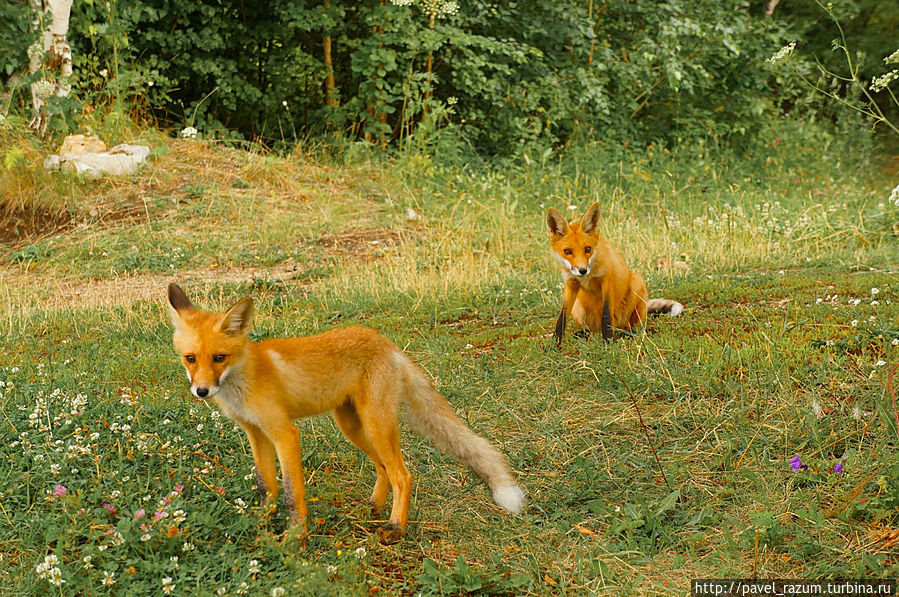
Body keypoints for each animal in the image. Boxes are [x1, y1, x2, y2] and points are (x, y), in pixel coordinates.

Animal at [165, 282, 524, 544]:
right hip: (351, 426)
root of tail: (386, 343)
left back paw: (396, 528)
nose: (201, 391)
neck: (244, 379)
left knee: (403, 475)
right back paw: (374, 507)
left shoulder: (284, 433)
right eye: (190, 358)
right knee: (383, 468)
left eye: (220, 357)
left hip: (376, 425)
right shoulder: (256, 433)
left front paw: (295, 538)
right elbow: (266, 486)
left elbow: (292, 493)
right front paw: (261, 525)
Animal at [544, 201, 684, 344]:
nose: (582, 270)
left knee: (633, 326)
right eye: (567, 251)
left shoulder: (607, 281)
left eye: (588, 249)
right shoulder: (571, 284)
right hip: (578, 308)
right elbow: (561, 318)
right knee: (592, 330)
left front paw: (608, 342)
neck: (588, 277)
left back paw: (631, 334)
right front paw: (555, 343)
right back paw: (584, 334)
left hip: (637, 284)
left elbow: (606, 316)